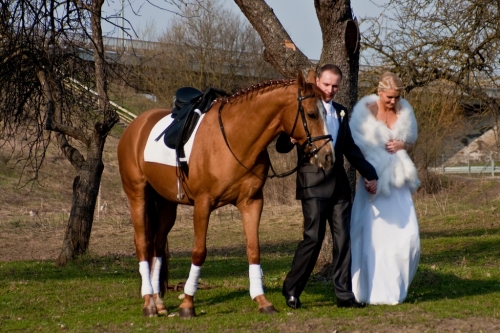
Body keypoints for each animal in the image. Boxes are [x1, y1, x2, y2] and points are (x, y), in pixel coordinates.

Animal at [117, 70, 336, 316]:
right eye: (311, 114)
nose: (328, 156)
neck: (234, 138)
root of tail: (136, 125)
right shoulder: (203, 204)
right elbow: (199, 252)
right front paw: (188, 304)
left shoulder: (252, 202)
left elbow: (253, 249)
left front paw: (262, 300)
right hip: (138, 195)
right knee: (142, 244)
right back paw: (148, 303)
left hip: (166, 204)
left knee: (157, 245)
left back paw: (158, 302)